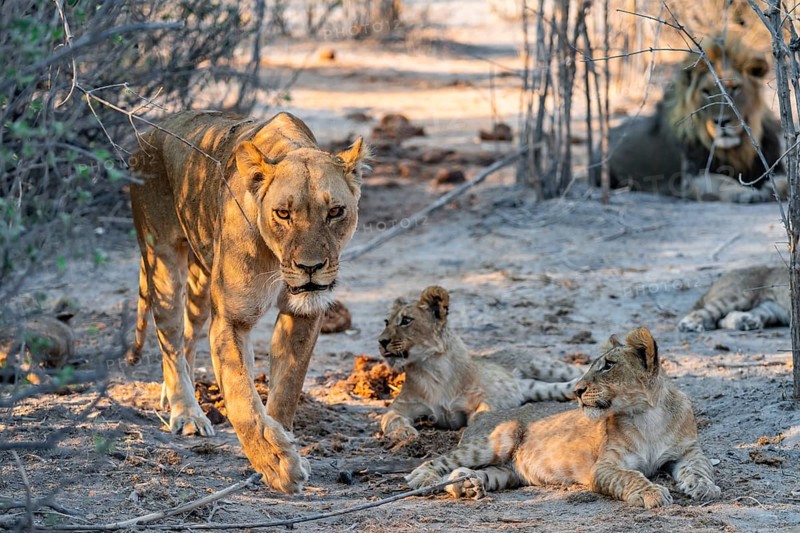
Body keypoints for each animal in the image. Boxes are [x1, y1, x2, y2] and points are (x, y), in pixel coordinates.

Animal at [127, 110, 368, 493]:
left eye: (335, 212)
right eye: (283, 213)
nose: (310, 268)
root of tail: (150, 130)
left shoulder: (303, 315)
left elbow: (287, 388)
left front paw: (283, 439)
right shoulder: (232, 319)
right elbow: (242, 397)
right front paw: (277, 464)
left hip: (200, 280)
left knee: (188, 337)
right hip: (163, 261)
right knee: (170, 342)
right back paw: (187, 413)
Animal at [378, 286, 583, 443]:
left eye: (406, 320)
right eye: (386, 322)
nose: (381, 341)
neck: (432, 367)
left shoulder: (484, 396)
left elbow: (481, 413)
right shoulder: (400, 406)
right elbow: (391, 419)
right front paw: (403, 433)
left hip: (542, 366)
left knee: (576, 370)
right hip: (535, 387)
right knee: (559, 387)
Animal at [405, 327, 720, 508]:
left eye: (608, 365)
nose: (577, 390)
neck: (648, 415)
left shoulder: (687, 451)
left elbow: (701, 466)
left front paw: (704, 487)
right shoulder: (605, 467)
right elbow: (631, 476)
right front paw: (651, 493)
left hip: (506, 473)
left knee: (468, 474)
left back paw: (468, 485)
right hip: (497, 440)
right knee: (444, 461)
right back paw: (421, 478)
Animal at [604, 32, 785, 202]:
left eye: (735, 88)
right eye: (705, 92)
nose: (721, 122)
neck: (738, 150)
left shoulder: (775, 164)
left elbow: (785, 181)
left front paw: (771, 187)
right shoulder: (690, 177)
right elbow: (720, 180)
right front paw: (745, 192)